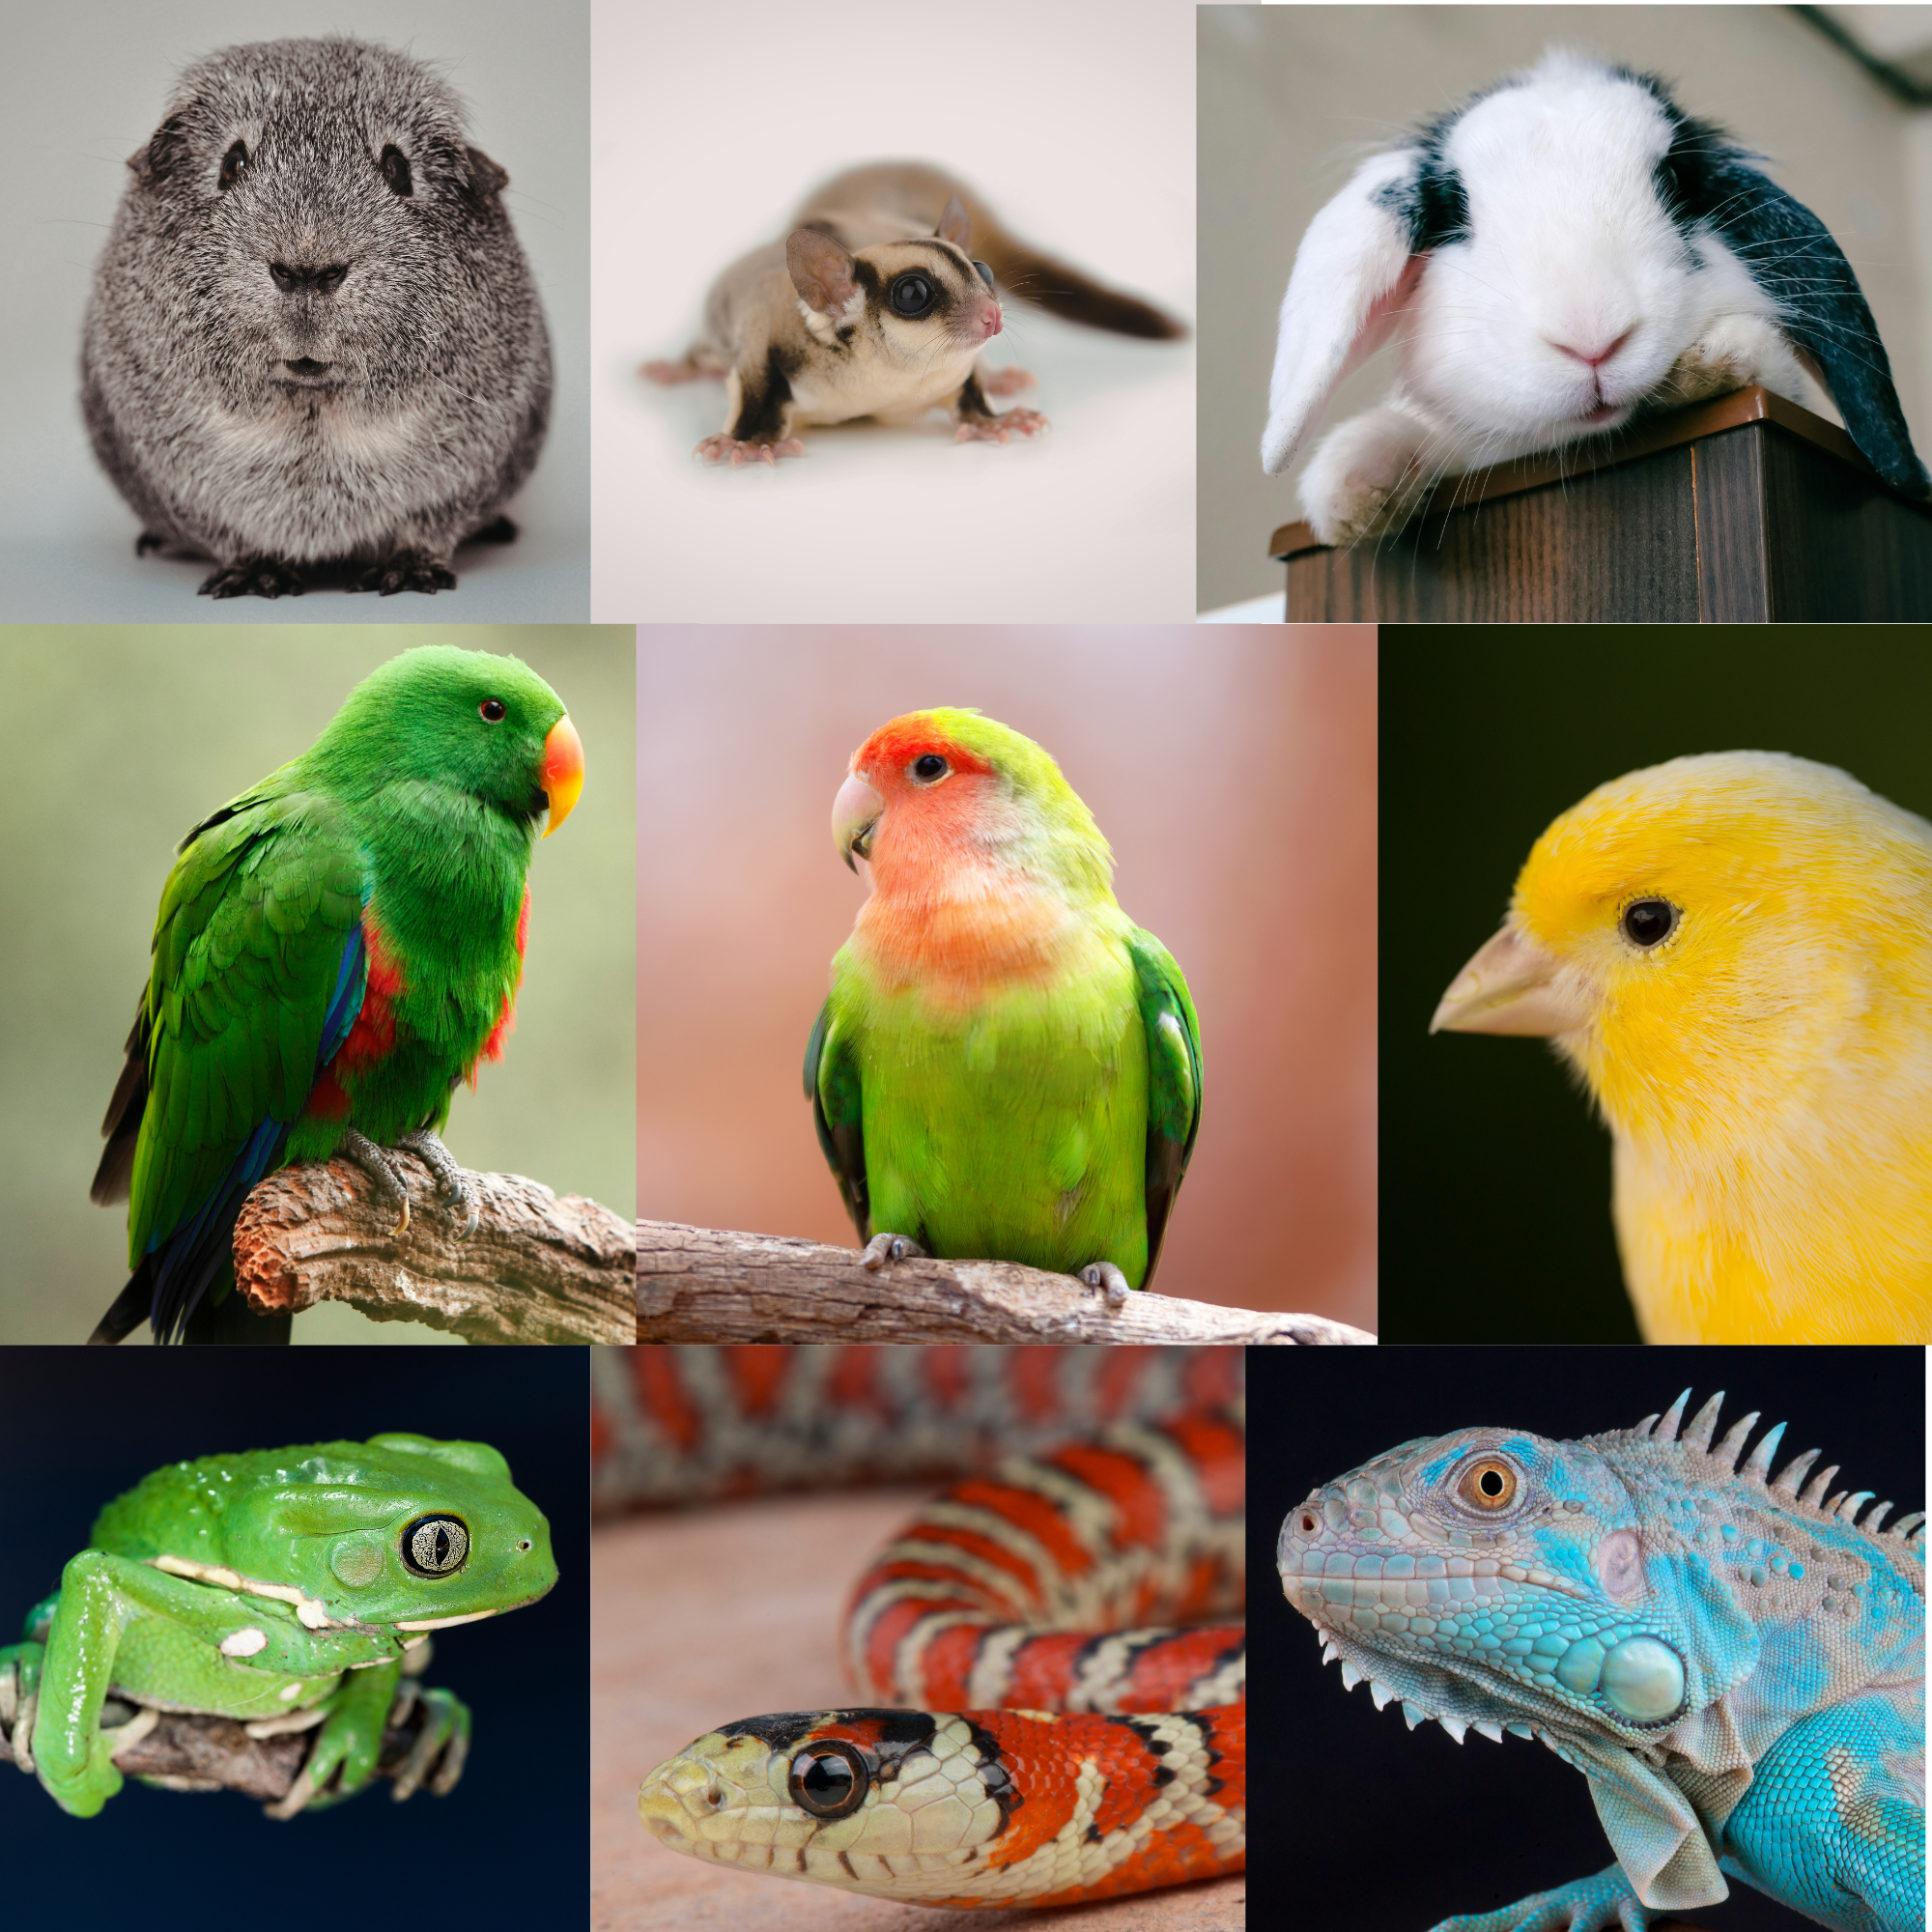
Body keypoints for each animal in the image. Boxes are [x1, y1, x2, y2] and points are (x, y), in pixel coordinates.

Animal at [83, 37, 551, 598]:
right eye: (231, 163)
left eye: (399, 169)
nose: (307, 270)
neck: (314, 418)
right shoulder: (179, 485)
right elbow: (230, 534)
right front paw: (256, 578)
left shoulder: (461, 479)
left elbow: (428, 528)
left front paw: (406, 576)